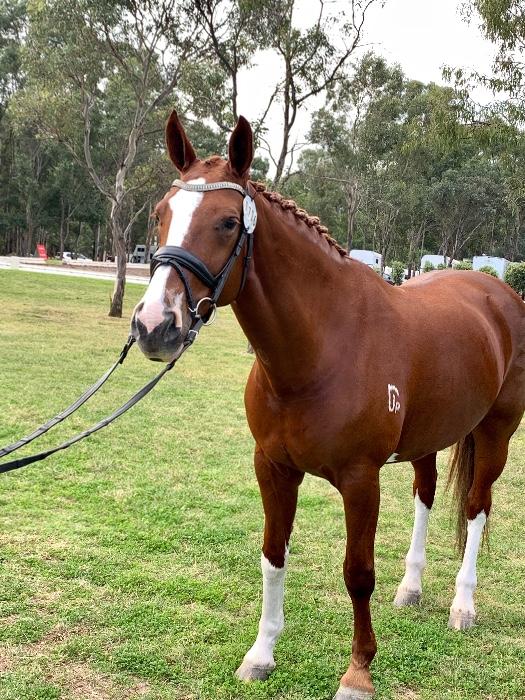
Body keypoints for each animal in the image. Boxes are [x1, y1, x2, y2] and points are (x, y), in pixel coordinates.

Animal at [130, 111, 525, 699]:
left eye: (227, 222)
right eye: (160, 214)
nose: (155, 325)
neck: (322, 349)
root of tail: (498, 294)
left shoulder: (360, 480)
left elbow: (357, 574)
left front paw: (358, 672)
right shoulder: (272, 468)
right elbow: (273, 556)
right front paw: (261, 654)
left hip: (496, 433)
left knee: (477, 509)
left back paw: (463, 605)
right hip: (429, 438)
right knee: (426, 494)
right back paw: (411, 589)